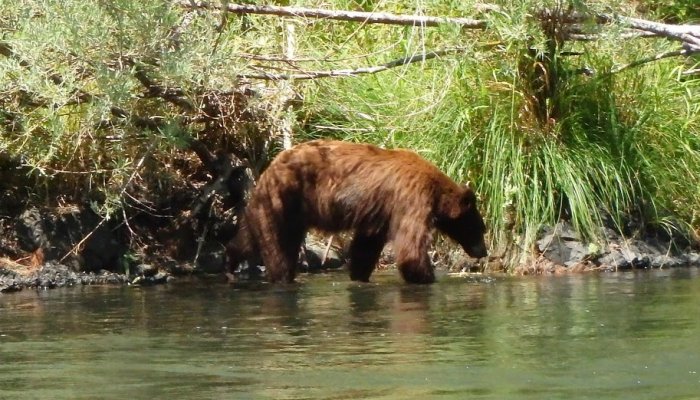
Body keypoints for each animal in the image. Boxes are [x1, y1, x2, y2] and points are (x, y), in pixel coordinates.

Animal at [226, 139, 488, 284]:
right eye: (481, 229)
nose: (483, 252)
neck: (437, 191)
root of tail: (269, 168)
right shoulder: (411, 199)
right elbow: (410, 249)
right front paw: (427, 278)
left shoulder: (380, 214)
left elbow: (367, 244)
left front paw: (359, 274)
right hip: (285, 200)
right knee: (278, 247)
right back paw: (281, 276)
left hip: (271, 205)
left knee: (249, 236)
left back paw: (231, 261)